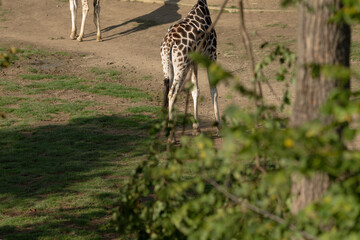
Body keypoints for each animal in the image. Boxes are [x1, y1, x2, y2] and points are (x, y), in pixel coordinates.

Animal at [160, 0, 219, 142]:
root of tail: (169, 43)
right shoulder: (212, 53)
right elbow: (213, 90)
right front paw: (218, 127)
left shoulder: (194, 62)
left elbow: (195, 90)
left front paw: (196, 129)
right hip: (182, 65)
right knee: (172, 92)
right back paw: (171, 137)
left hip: (168, 65)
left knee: (167, 91)